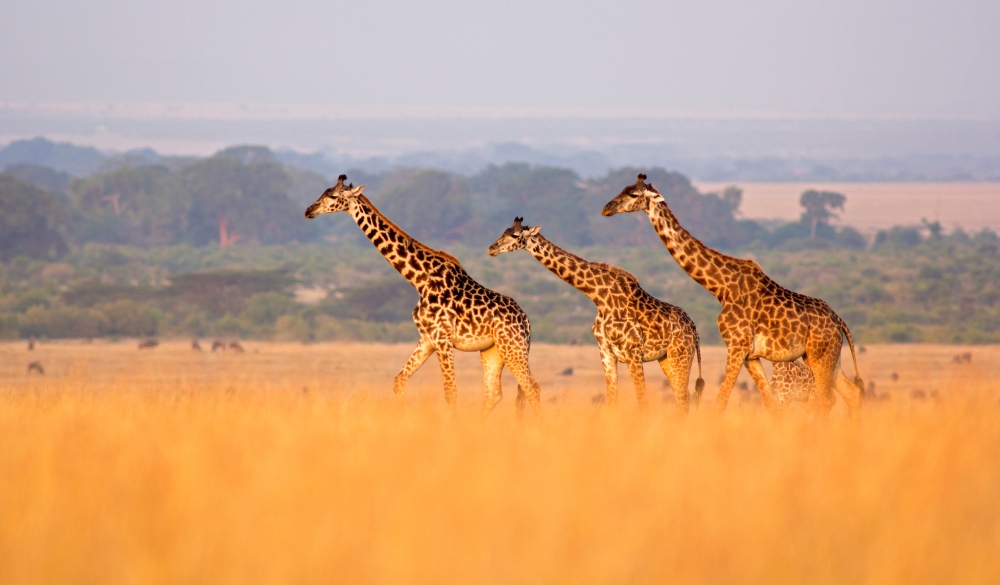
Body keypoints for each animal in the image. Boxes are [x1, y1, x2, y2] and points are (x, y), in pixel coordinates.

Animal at [306, 175, 544, 416]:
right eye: (323, 192)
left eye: (332, 196)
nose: (309, 210)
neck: (419, 279)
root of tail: (526, 321)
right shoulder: (427, 339)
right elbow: (399, 380)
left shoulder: (442, 338)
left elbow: (450, 392)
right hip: (493, 351)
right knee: (497, 394)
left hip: (512, 348)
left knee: (532, 389)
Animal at [486, 216, 704, 410]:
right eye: (504, 231)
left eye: (514, 235)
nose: (491, 248)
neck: (600, 297)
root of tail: (695, 329)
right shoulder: (606, 353)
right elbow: (612, 402)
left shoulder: (633, 353)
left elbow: (642, 402)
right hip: (665, 358)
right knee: (683, 397)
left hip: (680, 355)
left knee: (683, 399)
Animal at [600, 173, 868, 416]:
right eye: (622, 188)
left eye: (634, 194)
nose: (606, 208)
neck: (722, 287)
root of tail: (838, 321)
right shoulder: (750, 354)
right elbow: (768, 404)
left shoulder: (736, 345)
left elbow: (721, 402)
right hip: (825, 357)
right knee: (852, 393)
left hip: (820, 355)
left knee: (826, 400)